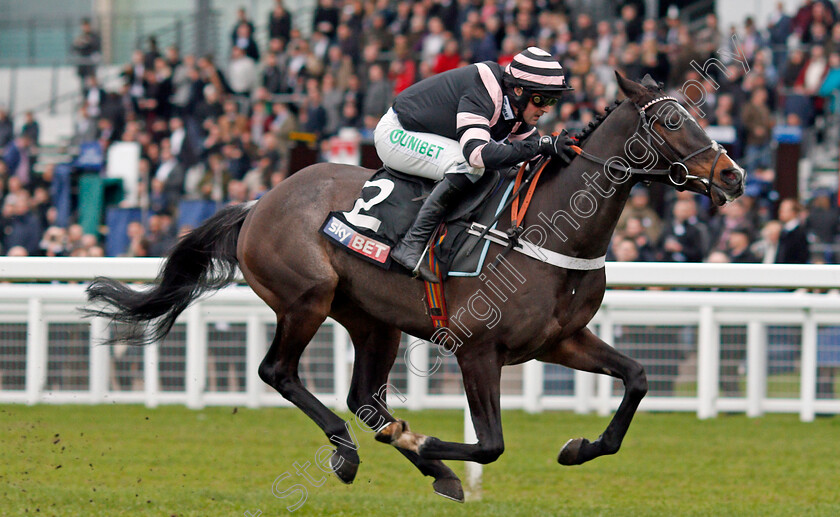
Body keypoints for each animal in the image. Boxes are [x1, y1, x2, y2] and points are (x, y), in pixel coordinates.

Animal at [83, 72, 740, 500]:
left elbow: (639, 377)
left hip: (373, 321)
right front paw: (426, 443)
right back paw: (351, 453)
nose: (732, 175)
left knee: (365, 400)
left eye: (701, 114)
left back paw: (419, 463)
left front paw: (577, 447)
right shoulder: (478, 350)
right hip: (306, 298)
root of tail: (260, 201)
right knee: (279, 372)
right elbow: (490, 444)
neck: (547, 227)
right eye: (671, 119)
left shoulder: (561, 340)